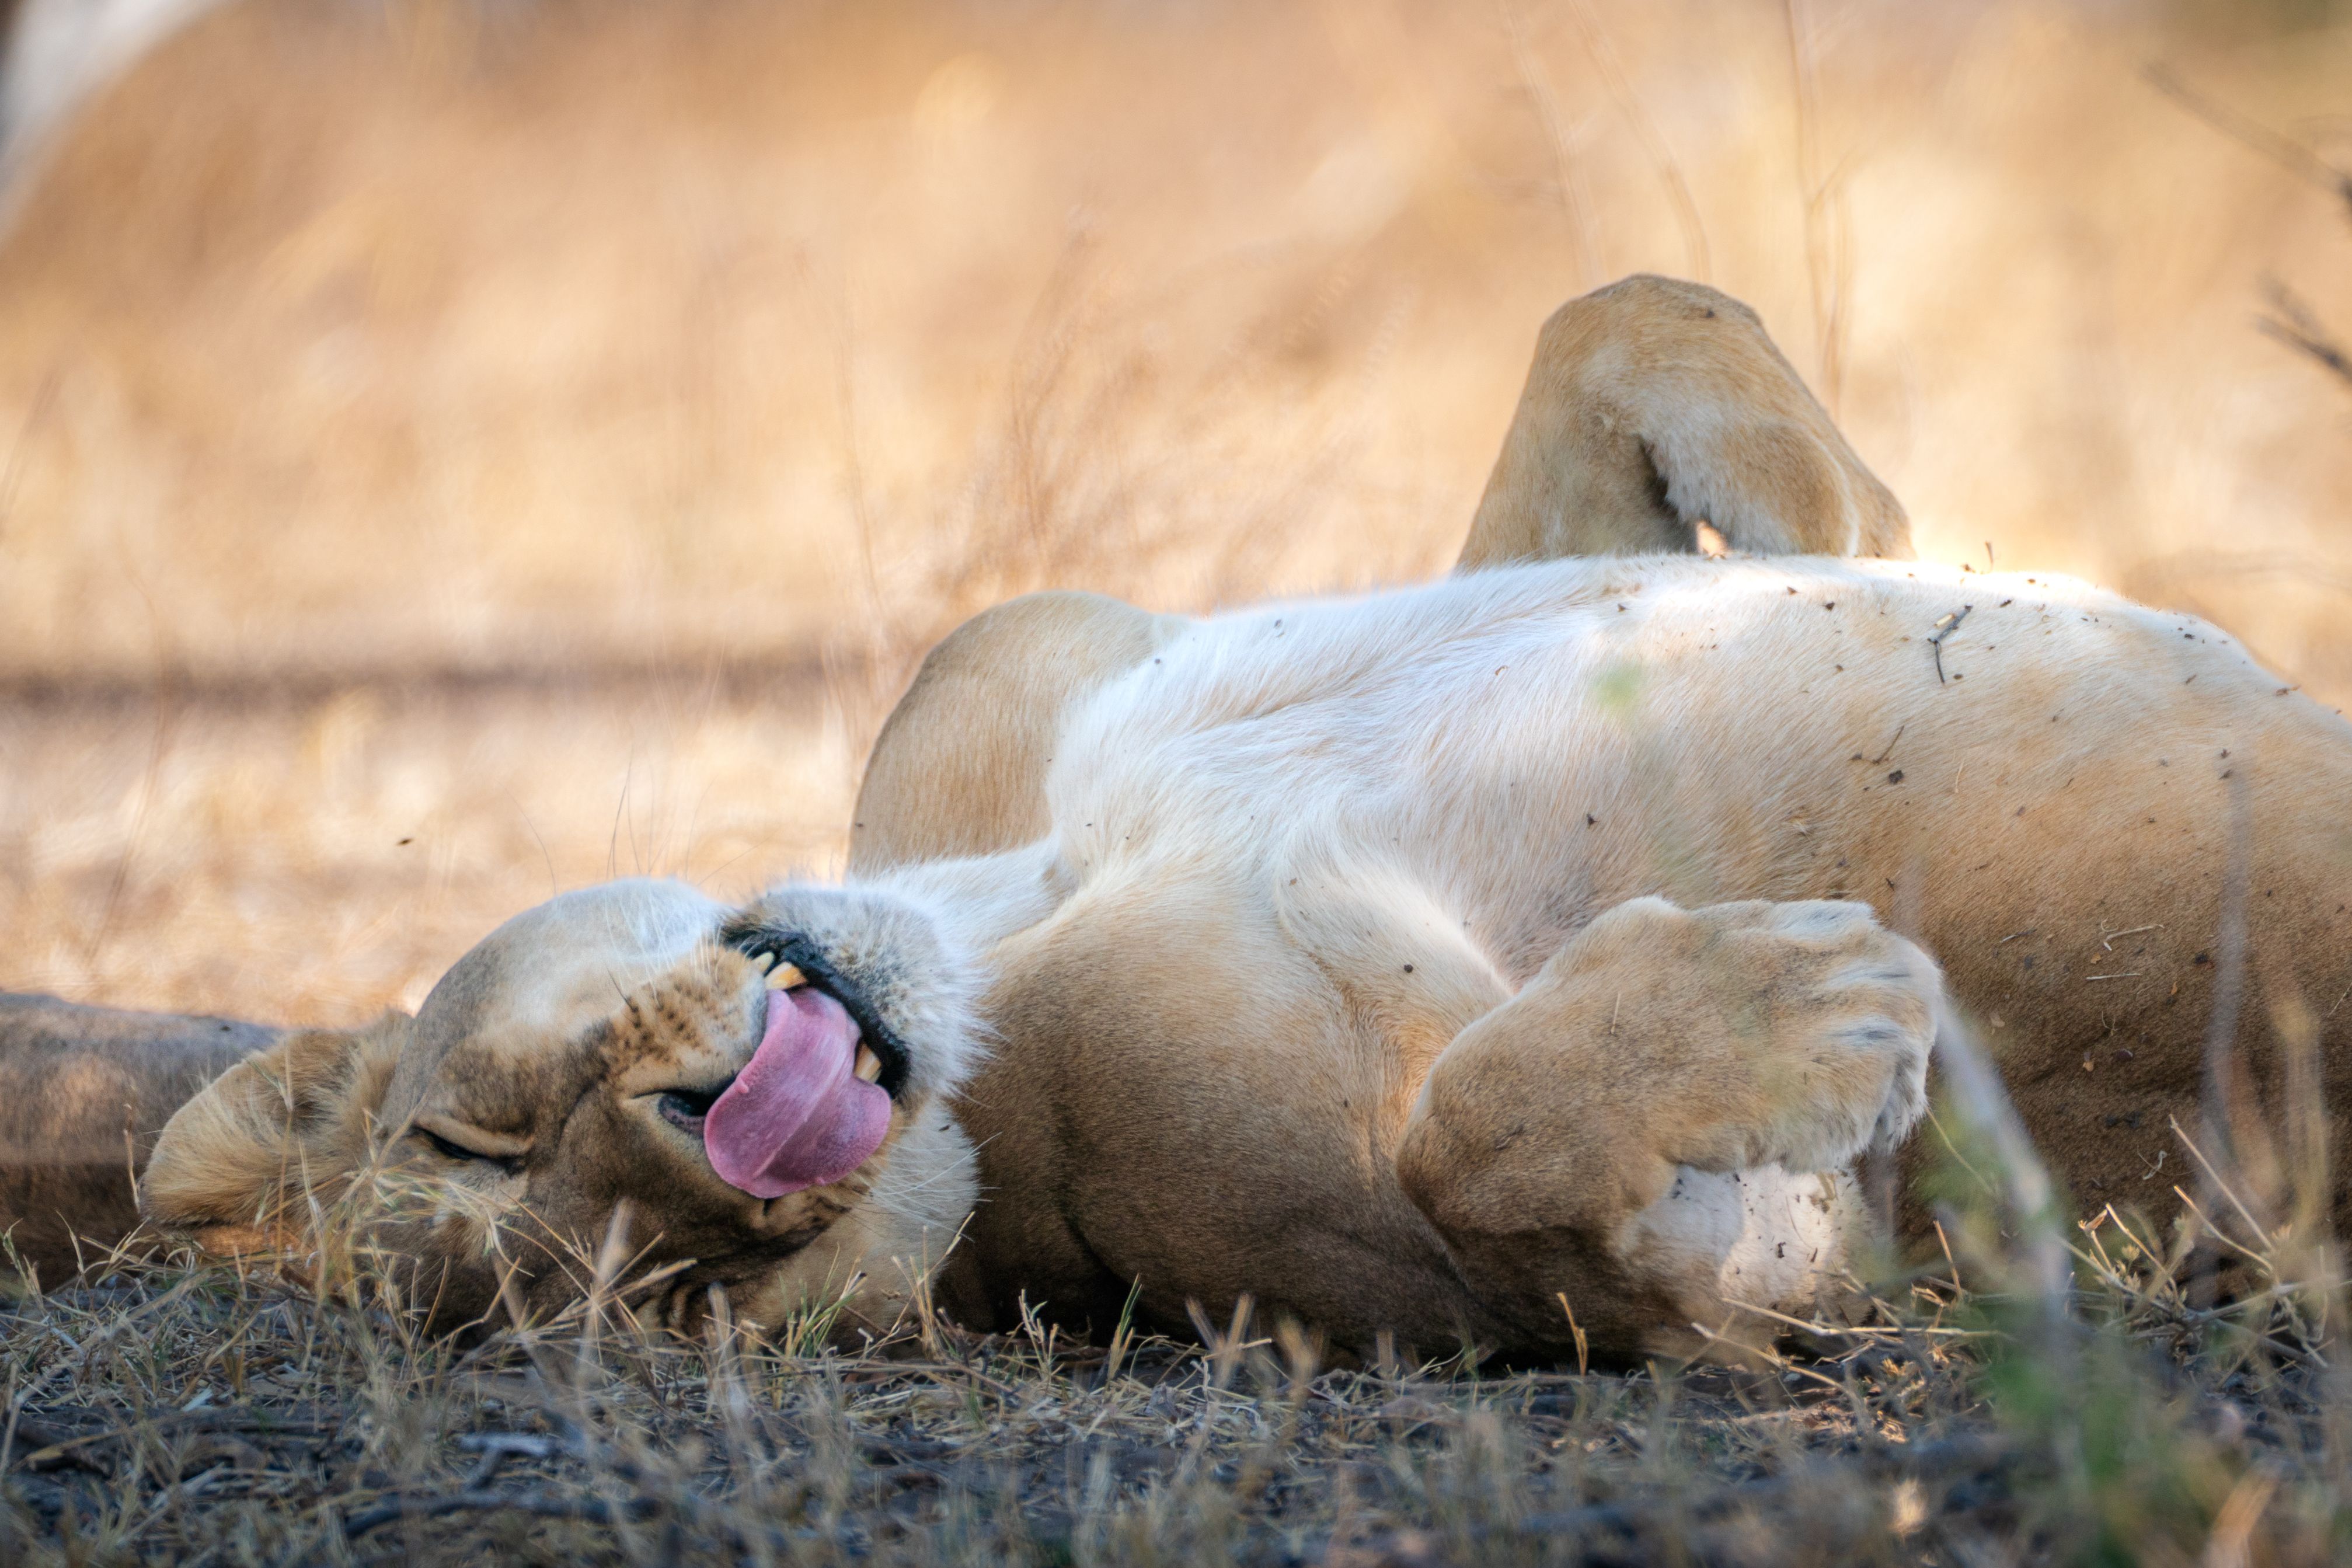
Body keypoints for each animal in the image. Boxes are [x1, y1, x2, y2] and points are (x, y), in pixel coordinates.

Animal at [5, 278, 2346, 1366]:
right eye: (646, 1288)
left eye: (473, 1140)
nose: (715, 1180)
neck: (1016, 900)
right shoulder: (1570, 1268)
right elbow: (1499, 1166)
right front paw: (1793, 1002)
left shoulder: (1017, 677)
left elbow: (1606, 327)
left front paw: (1835, 510)